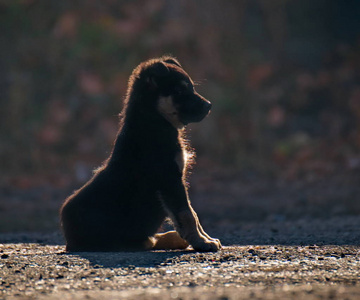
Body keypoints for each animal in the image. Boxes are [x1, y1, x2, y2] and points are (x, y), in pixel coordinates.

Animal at [60, 55, 221, 251]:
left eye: (191, 88)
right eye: (179, 91)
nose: (209, 106)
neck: (154, 120)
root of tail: (69, 243)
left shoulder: (175, 180)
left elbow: (193, 213)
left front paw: (204, 238)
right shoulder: (169, 179)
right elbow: (187, 214)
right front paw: (201, 242)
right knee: (145, 241)